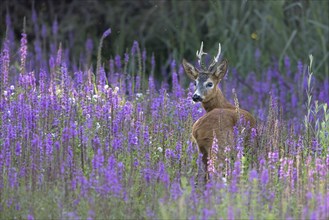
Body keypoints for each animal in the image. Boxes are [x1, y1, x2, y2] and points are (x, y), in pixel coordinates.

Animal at [182, 42, 256, 183]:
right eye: (195, 82)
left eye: (210, 83)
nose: (195, 96)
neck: (225, 105)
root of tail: (199, 129)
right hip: (222, 143)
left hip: (202, 148)